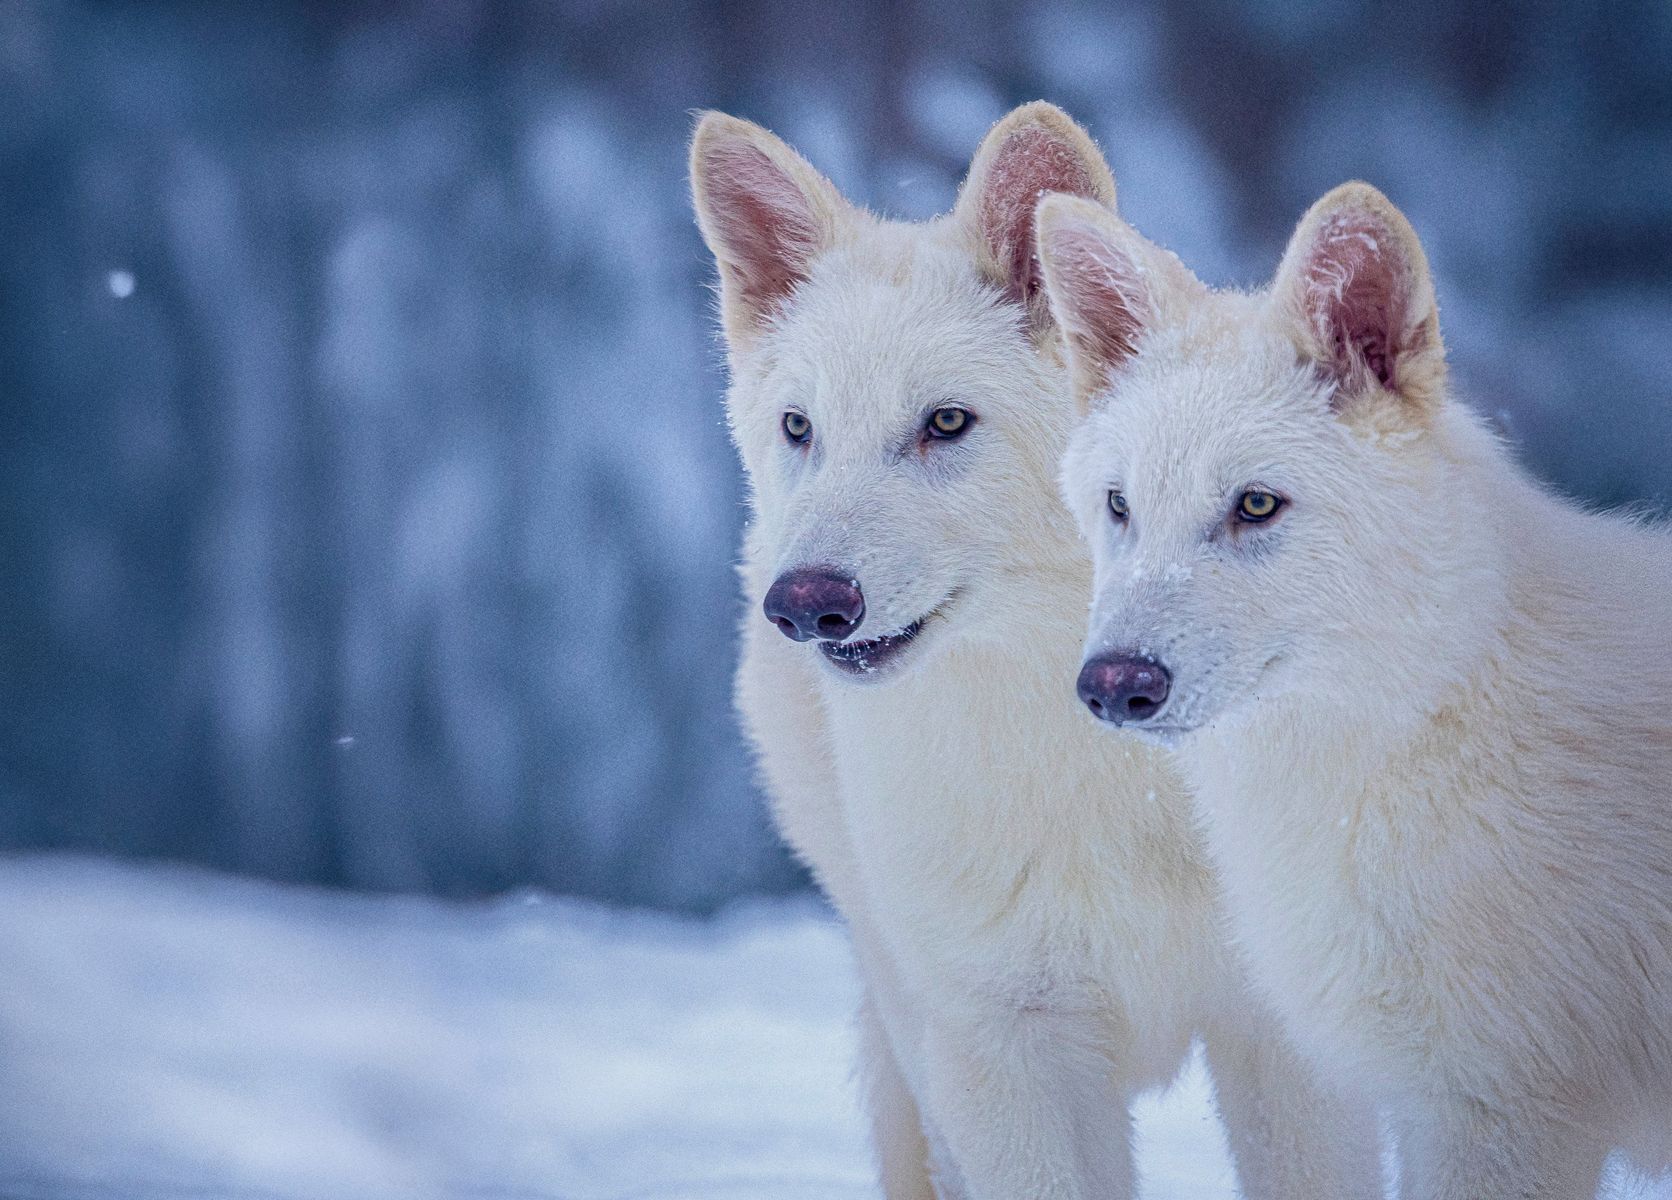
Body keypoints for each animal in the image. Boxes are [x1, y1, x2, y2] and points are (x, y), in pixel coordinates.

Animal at [689, 102, 1378, 1199]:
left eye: (945, 423)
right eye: (800, 427)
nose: (804, 606)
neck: (1099, 771)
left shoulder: (1284, 1042)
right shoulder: (1001, 1051)